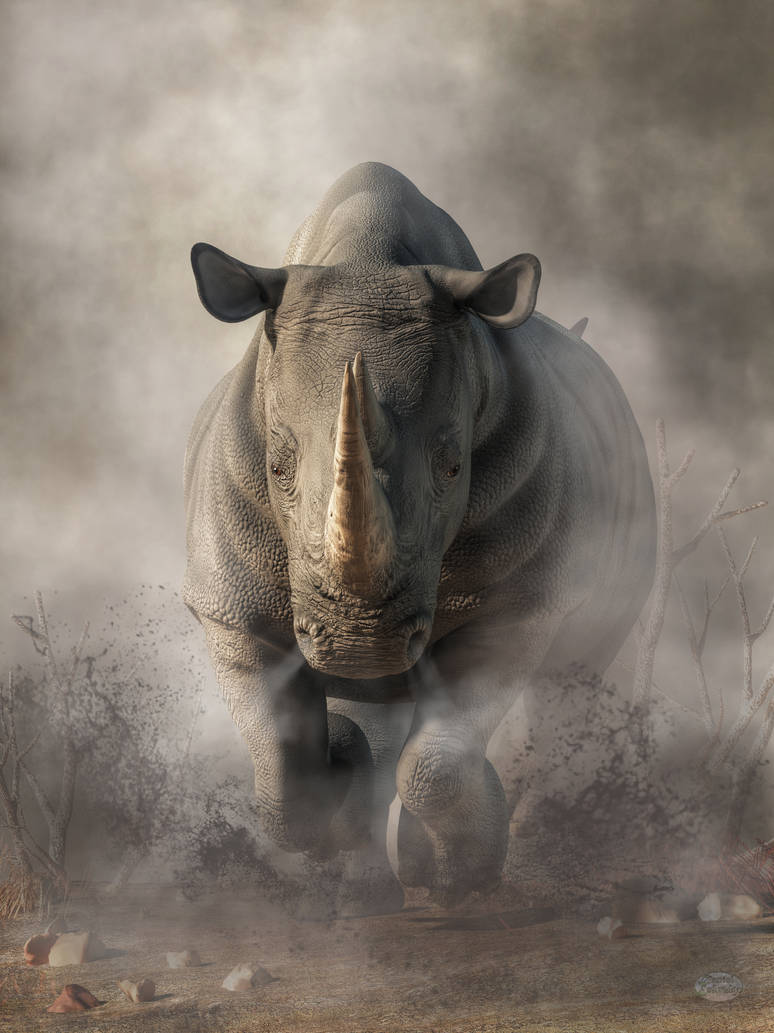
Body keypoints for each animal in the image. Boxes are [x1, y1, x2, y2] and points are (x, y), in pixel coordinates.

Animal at [184, 162, 656, 910]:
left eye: (455, 465)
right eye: (277, 465)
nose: (356, 645)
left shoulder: (521, 602)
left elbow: (438, 762)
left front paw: (461, 875)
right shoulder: (229, 605)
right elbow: (281, 777)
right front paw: (337, 769)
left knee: (572, 675)